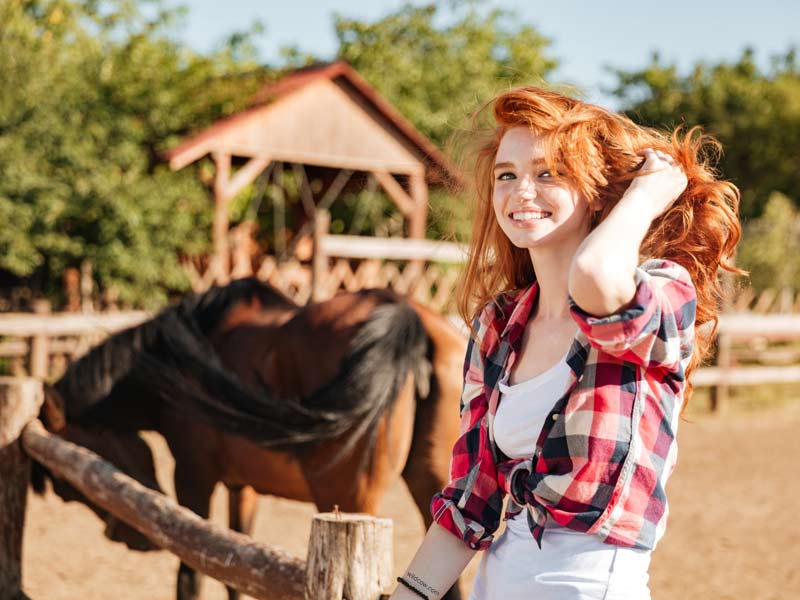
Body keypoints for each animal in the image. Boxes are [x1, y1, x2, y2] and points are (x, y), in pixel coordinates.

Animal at [36, 278, 462, 600]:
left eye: (65, 486)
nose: (132, 539)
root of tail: (405, 316)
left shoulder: (193, 478)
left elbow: (191, 575)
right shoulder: (243, 488)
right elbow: (236, 568)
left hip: (351, 499)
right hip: (431, 488)